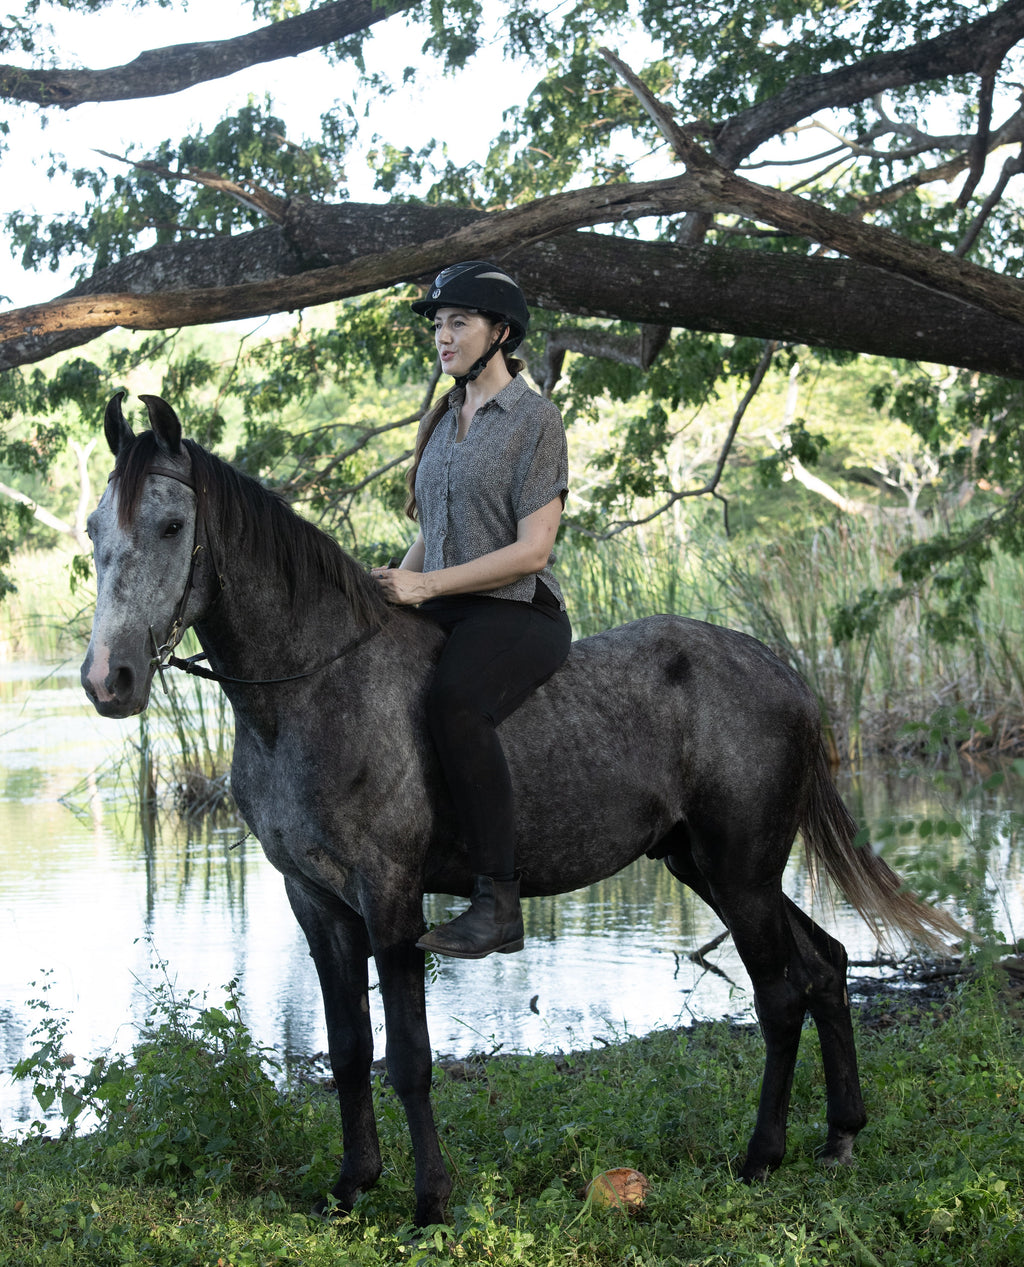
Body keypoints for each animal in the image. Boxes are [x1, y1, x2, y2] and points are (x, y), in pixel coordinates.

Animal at [81, 392, 964, 1226]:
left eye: (171, 525)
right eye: (94, 531)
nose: (106, 680)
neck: (311, 688)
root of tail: (782, 671)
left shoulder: (390, 895)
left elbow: (408, 1056)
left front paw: (429, 1202)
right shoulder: (317, 900)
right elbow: (347, 1048)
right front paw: (351, 1186)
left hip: (742, 871)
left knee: (780, 998)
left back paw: (760, 1157)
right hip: (712, 865)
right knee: (825, 967)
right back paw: (841, 1133)